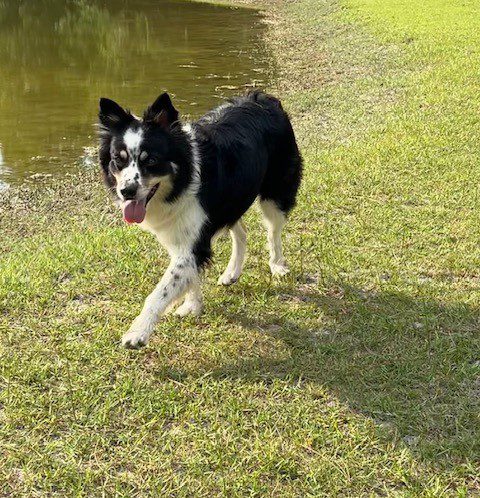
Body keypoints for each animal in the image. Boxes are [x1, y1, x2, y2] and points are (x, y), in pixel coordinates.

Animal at [97, 91, 300, 348]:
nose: (127, 191)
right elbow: (189, 276)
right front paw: (192, 305)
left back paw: (277, 265)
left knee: (273, 231)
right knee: (241, 231)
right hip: (231, 200)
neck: (181, 180)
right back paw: (232, 272)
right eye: (118, 159)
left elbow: (161, 291)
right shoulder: (183, 238)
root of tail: (263, 97)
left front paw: (138, 331)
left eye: (151, 160)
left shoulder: (194, 241)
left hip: (276, 193)